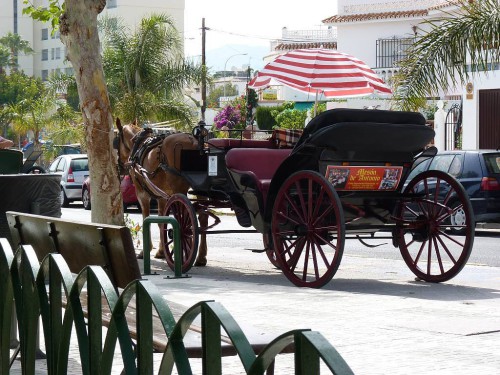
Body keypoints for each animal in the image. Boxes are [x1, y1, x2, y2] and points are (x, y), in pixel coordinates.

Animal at [114, 119, 208, 268]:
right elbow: (161, 221)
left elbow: (147, 219)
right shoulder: (162, 197)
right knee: (203, 217)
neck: (139, 144)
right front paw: (162, 251)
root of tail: (194, 142)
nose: (119, 165)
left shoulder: (142, 194)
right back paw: (201, 257)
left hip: (179, 188)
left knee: (185, 219)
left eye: (115, 140)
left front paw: (147, 251)